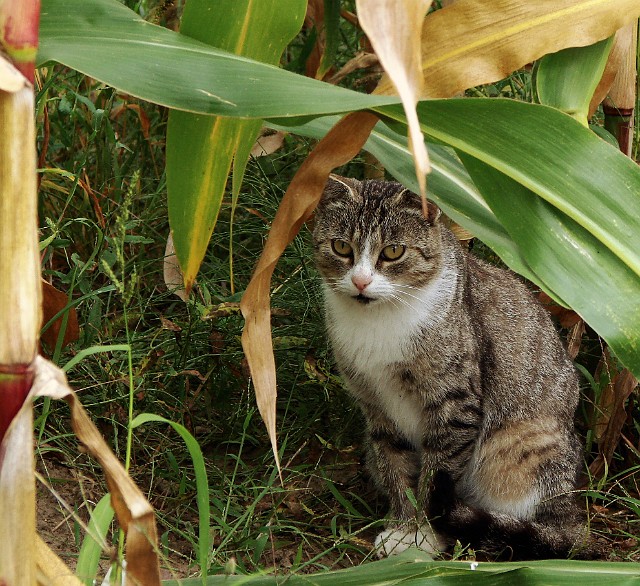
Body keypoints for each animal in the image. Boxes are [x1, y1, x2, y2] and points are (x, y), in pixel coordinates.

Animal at [312, 176, 588, 560]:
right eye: (341, 247)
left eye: (393, 252)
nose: (361, 281)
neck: (377, 321)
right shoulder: (376, 406)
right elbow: (395, 466)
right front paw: (402, 526)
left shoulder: (454, 404)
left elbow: (434, 475)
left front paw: (420, 537)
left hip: (526, 445)